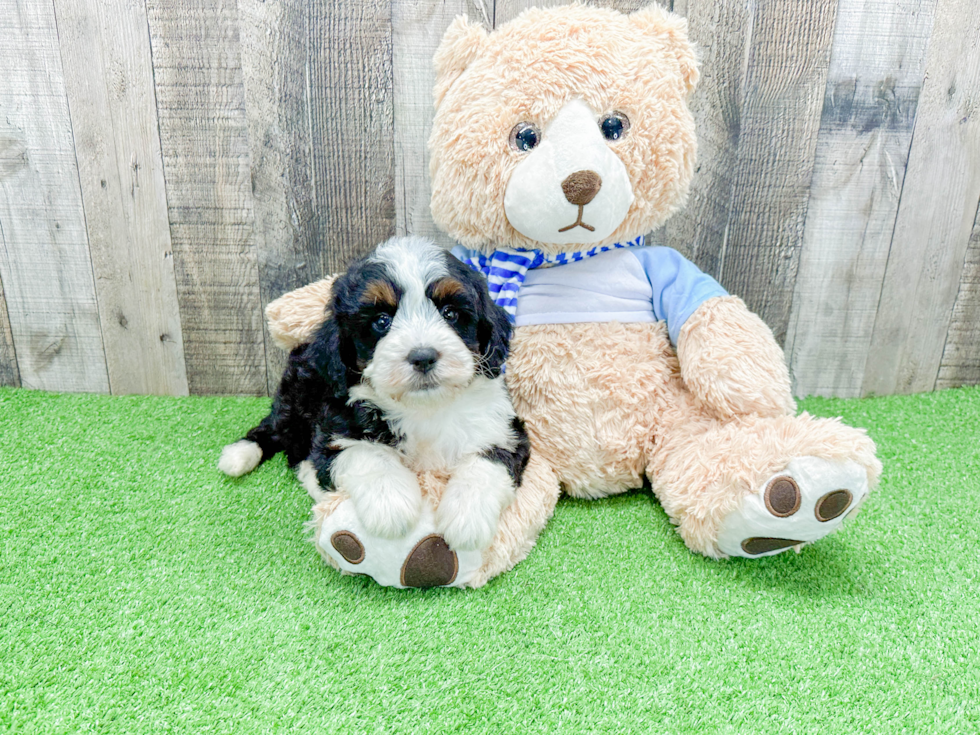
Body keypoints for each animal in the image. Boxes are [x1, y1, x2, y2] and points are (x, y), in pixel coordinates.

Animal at [219, 236, 532, 552]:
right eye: (381, 321)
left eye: (451, 313)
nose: (423, 357)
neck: (424, 408)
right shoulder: (336, 425)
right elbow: (364, 453)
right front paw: (391, 504)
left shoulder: (504, 428)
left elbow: (489, 460)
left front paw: (467, 517)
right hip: (297, 395)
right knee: (279, 433)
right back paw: (239, 455)